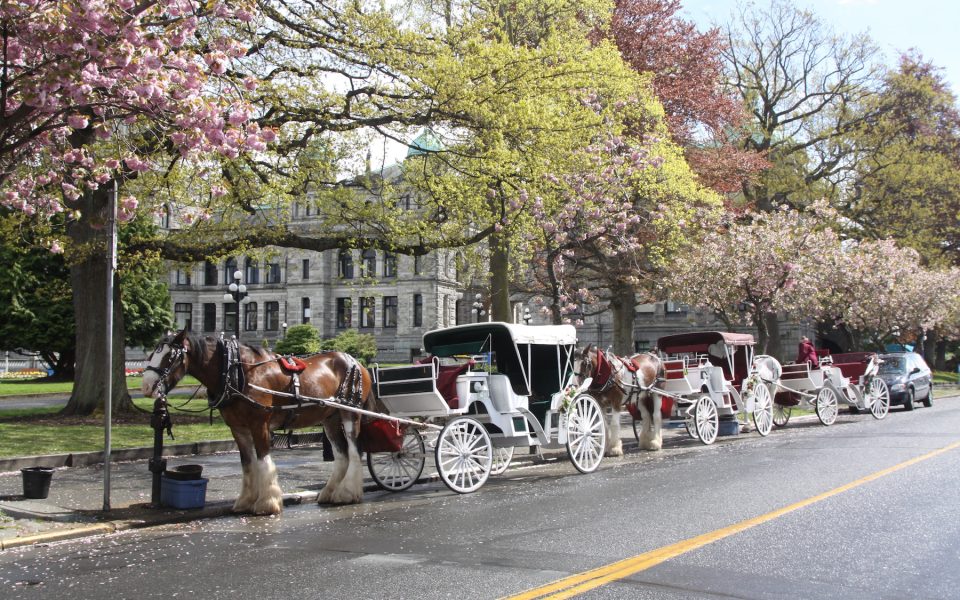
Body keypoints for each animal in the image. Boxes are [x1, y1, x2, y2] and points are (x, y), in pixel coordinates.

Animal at [142, 328, 376, 516]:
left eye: (170, 356)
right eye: (153, 353)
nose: (146, 386)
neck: (237, 373)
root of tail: (356, 361)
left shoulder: (259, 424)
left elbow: (263, 461)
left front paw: (267, 503)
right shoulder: (238, 428)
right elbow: (248, 463)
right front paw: (245, 501)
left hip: (350, 415)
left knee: (355, 450)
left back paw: (348, 492)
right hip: (330, 418)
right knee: (342, 454)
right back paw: (331, 492)